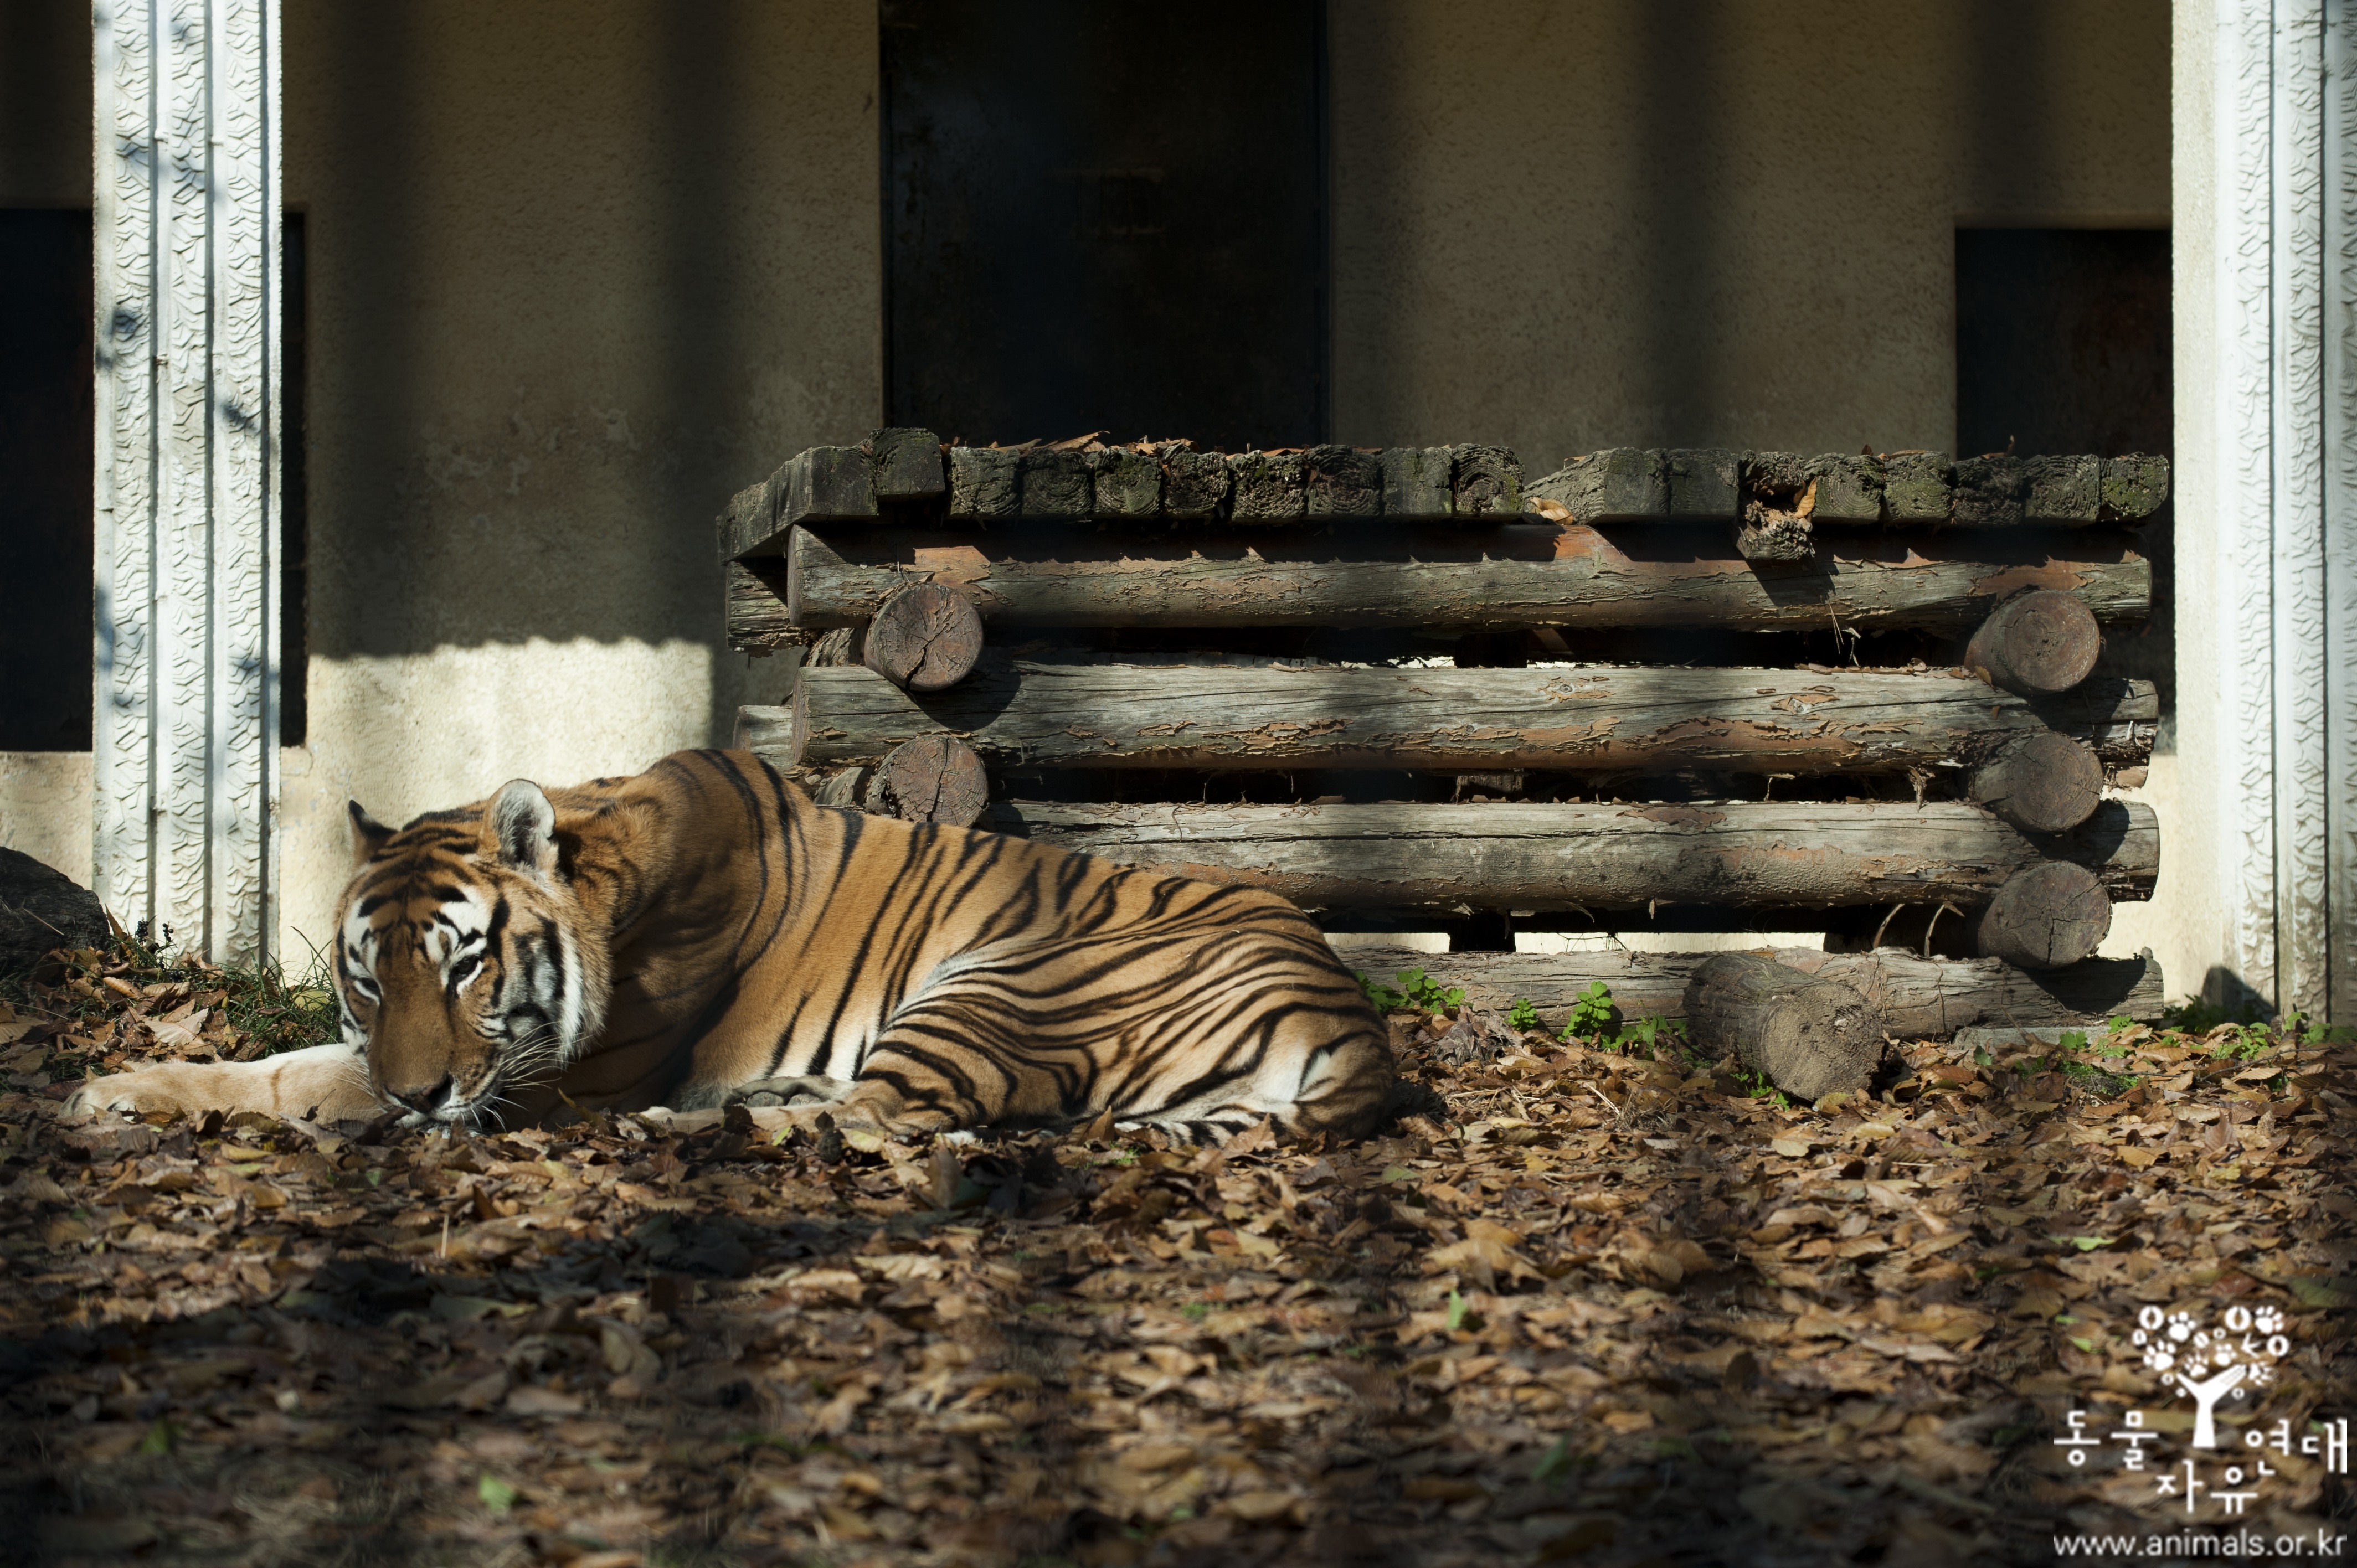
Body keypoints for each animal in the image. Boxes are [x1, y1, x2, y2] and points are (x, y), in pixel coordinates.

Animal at [64, 745, 1386, 1136]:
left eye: (467, 962)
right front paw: (127, 1083)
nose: (418, 1097)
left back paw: (696, 1125)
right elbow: (295, 1057)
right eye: (367, 976)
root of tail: (1356, 1022)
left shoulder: (549, 1073)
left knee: (880, 1124)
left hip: (999, 982)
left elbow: (298, 1079)